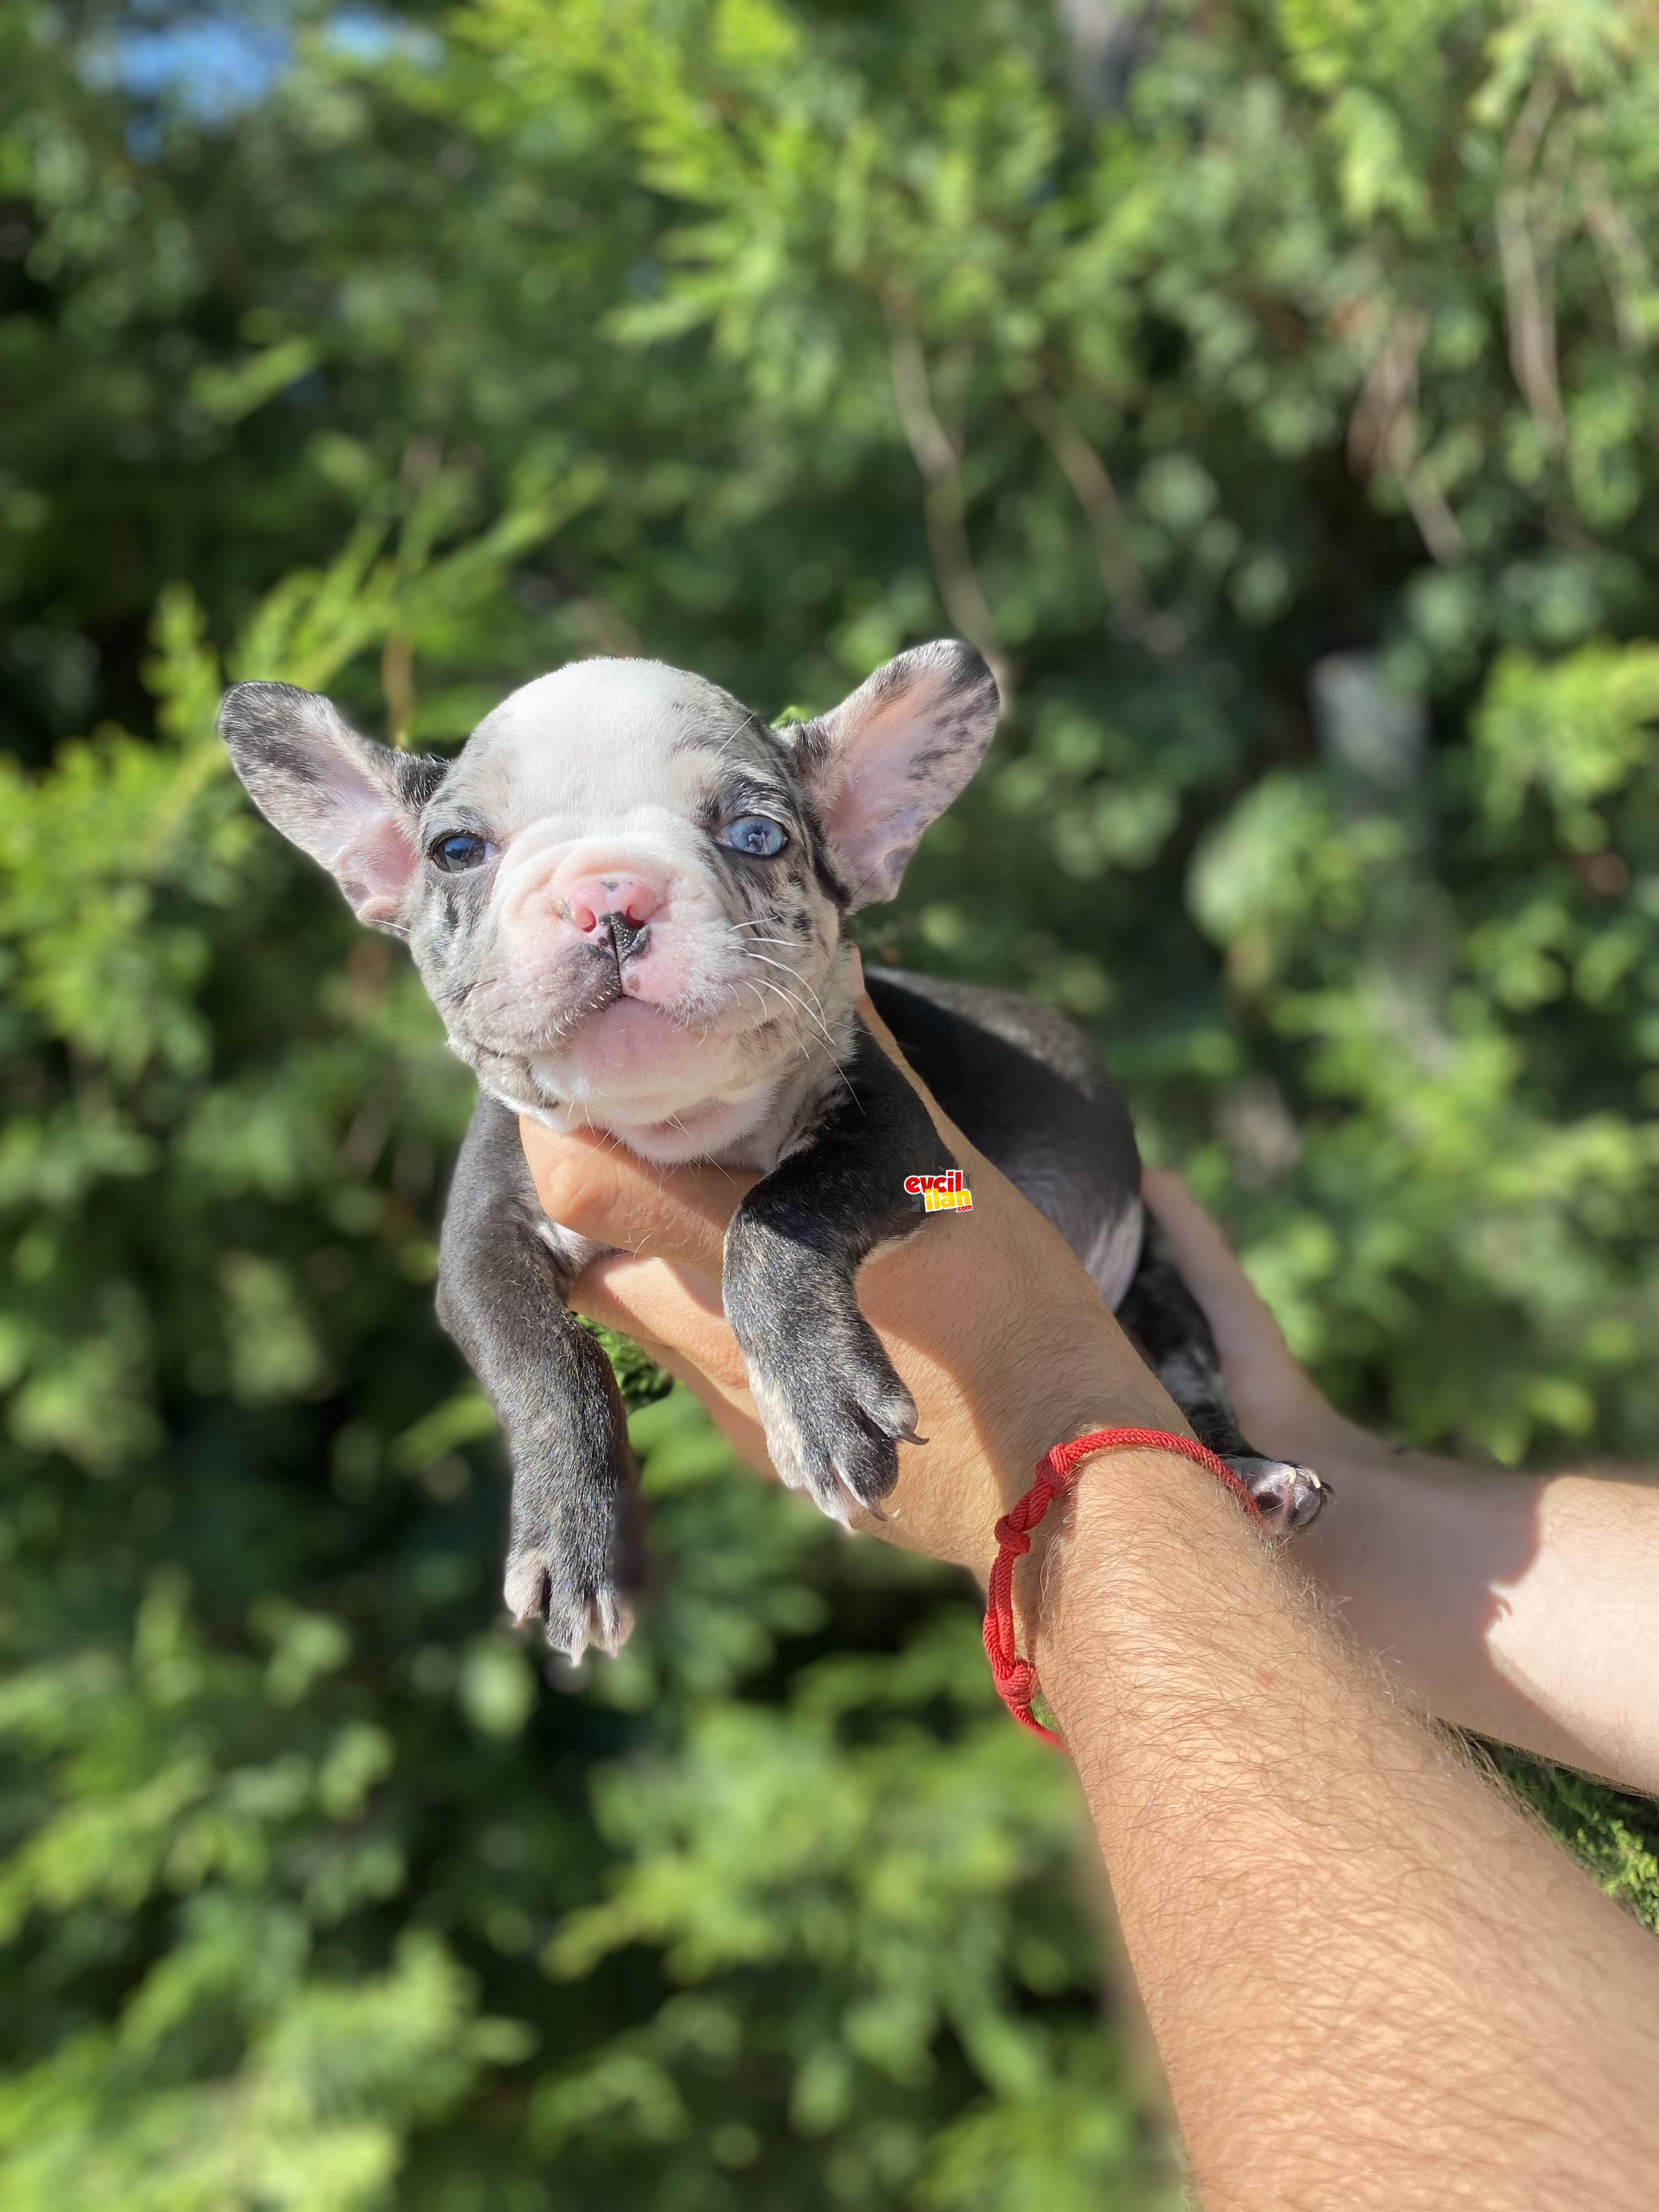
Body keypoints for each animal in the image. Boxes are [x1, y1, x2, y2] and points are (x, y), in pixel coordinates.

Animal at [221, 641, 1327, 1663]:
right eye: (454, 848)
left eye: (757, 835)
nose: (610, 893)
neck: (678, 1125)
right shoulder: (485, 1237)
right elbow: (541, 1362)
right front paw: (574, 1536)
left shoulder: (890, 1132)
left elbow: (775, 1217)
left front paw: (819, 1402)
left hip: (1155, 1288)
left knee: (1184, 1375)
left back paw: (1258, 1475)